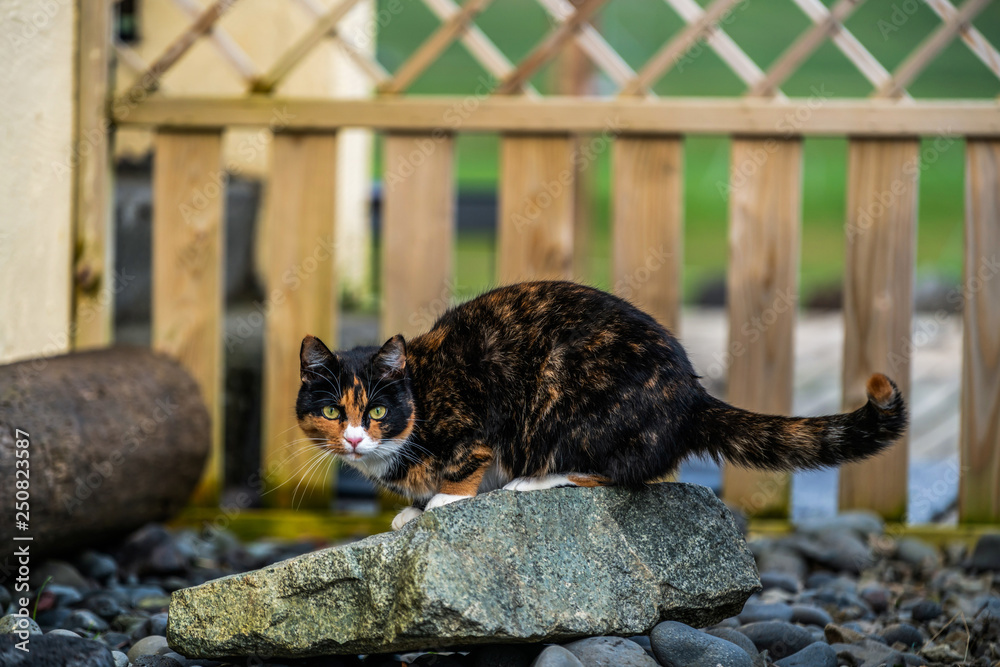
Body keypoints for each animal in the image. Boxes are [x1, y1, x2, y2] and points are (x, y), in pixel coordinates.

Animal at [294, 280, 908, 528]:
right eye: (332, 412)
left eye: (377, 411)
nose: (354, 437)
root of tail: (690, 394)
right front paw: (411, 511)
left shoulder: (476, 416)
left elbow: (468, 461)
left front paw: (441, 502)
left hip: (566, 393)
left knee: (623, 472)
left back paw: (534, 481)